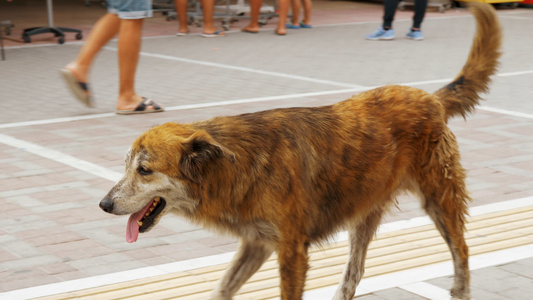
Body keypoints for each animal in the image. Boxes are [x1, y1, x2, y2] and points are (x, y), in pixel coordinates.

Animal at [100, 2, 498, 300]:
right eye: (126, 166)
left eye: (145, 170)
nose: (103, 205)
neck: (237, 165)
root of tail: (431, 98)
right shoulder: (257, 243)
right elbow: (222, 289)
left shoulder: (291, 251)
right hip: (364, 214)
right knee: (354, 271)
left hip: (439, 199)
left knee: (462, 250)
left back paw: (461, 290)